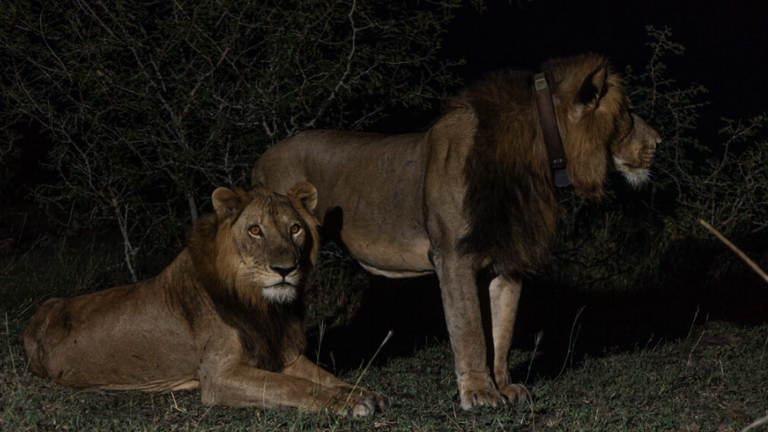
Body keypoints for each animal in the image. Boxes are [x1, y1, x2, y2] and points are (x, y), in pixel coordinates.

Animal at [24, 184, 390, 416]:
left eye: (295, 229)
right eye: (255, 230)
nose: (286, 269)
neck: (261, 305)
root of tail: (41, 314)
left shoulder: (282, 354)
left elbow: (324, 376)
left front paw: (362, 393)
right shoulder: (219, 376)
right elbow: (292, 387)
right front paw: (348, 403)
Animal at [252, 54, 660, 408]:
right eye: (628, 113)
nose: (658, 142)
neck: (535, 161)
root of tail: (262, 157)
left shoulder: (509, 258)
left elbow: (502, 330)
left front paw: (505, 387)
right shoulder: (453, 255)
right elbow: (470, 329)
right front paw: (479, 393)